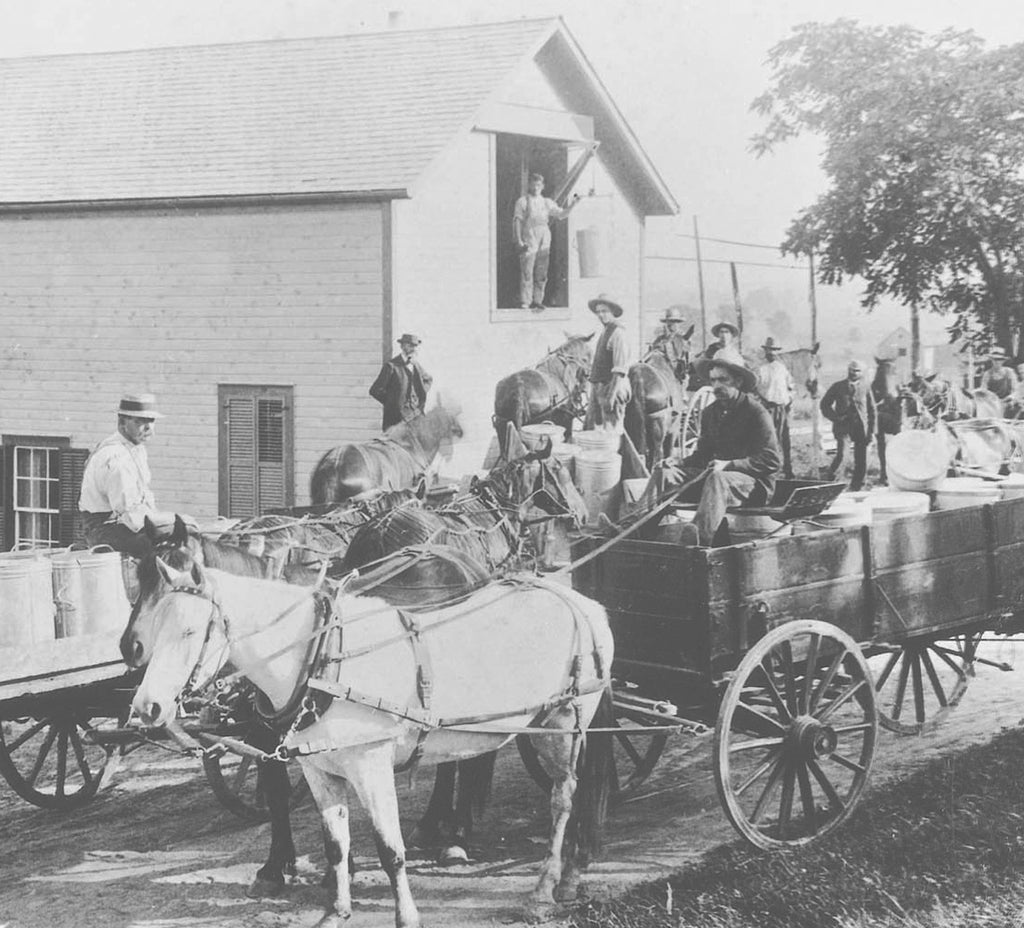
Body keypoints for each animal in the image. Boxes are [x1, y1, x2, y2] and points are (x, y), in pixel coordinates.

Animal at [126, 557, 606, 925]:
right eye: (155, 627)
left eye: (190, 632)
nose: (146, 707)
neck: (323, 659)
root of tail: (583, 604)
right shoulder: (319, 771)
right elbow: (336, 845)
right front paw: (336, 911)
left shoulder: (371, 767)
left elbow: (390, 849)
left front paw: (406, 916)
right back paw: (570, 876)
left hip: (564, 725)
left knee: (564, 797)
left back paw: (546, 887)